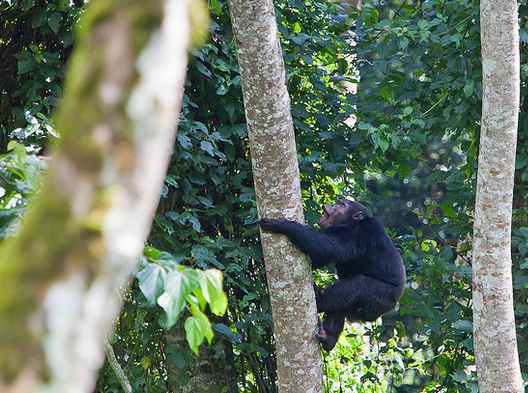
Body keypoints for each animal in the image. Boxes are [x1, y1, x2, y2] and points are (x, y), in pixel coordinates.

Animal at [258, 199, 404, 350]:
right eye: (338, 202)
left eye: (342, 205)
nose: (333, 205)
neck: (352, 222)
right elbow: (318, 256)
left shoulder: (361, 232)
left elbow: (333, 246)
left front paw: (283, 225)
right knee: (339, 305)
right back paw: (328, 338)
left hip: (384, 297)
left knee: (358, 285)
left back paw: (320, 301)